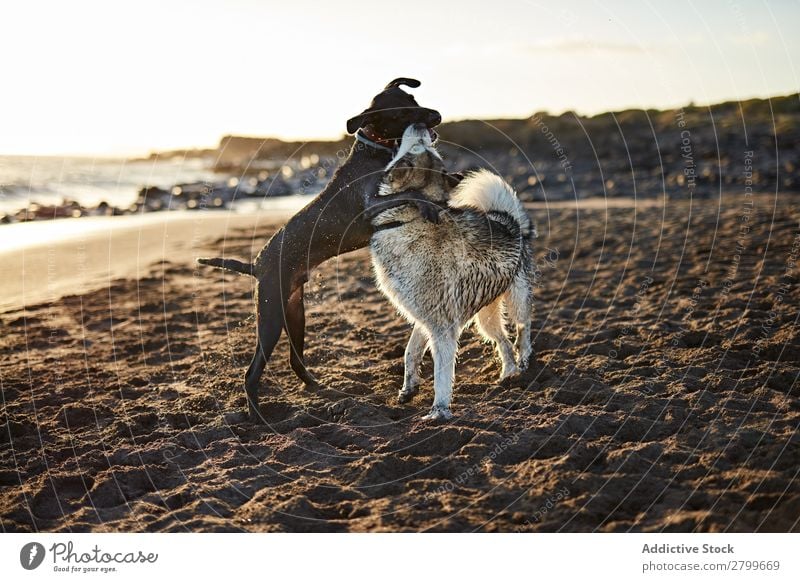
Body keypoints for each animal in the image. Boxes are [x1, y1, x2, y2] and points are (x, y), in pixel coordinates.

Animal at [196, 78, 440, 424]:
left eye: (414, 99)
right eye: (403, 112)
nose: (437, 116)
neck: (373, 151)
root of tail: (257, 265)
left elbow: (412, 194)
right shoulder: (368, 210)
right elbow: (410, 195)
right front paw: (430, 205)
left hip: (294, 312)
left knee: (294, 360)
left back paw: (317, 387)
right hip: (270, 316)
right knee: (251, 373)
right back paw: (257, 417)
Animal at [370, 125, 536, 422]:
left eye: (420, 147)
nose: (420, 126)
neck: (407, 220)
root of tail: (509, 220)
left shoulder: (442, 326)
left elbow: (441, 374)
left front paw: (439, 410)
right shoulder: (424, 317)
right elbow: (410, 352)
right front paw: (408, 389)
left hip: (517, 300)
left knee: (522, 328)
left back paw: (524, 359)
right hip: (485, 318)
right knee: (503, 342)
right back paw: (508, 374)